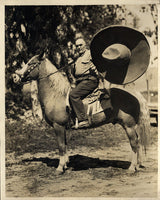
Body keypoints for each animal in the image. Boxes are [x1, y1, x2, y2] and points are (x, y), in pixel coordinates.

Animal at [11, 54, 150, 173]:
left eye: (30, 63)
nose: (15, 77)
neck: (56, 94)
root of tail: (135, 94)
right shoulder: (63, 127)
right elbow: (65, 145)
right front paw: (65, 165)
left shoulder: (58, 126)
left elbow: (60, 146)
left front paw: (60, 168)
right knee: (138, 142)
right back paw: (137, 165)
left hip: (129, 126)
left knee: (134, 143)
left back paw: (132, 168)